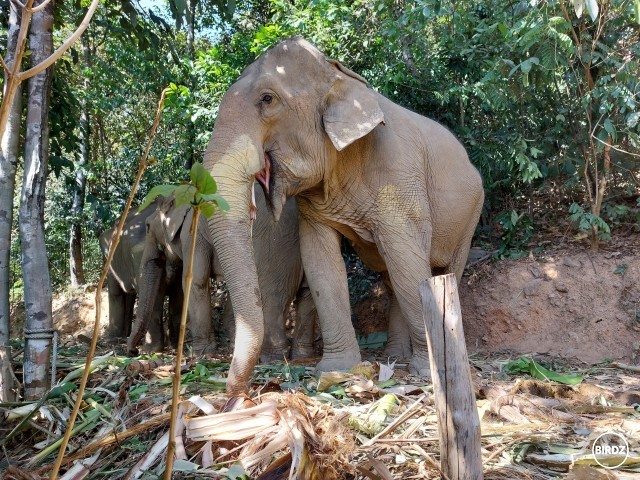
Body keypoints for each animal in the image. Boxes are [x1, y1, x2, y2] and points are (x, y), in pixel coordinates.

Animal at [126, 186, 316, 362]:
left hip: (276, 246)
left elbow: (196, 281)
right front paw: (230, 343)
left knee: (272, 295)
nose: (132, 352)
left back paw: (271, 358)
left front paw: (201, 354)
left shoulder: (193, 233)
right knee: (308, 294)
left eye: (147, 226)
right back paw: (301, 356)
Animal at [200, 35, 484, 392]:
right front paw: (338, 369)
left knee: (445, 271)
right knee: (392, 278)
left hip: (471, 215)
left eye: (267, 99)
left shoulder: (399, 174)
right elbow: (321, 261)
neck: (339, 76)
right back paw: (394, 356)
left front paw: (428, 372)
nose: (237, 395)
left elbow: (407, 261)